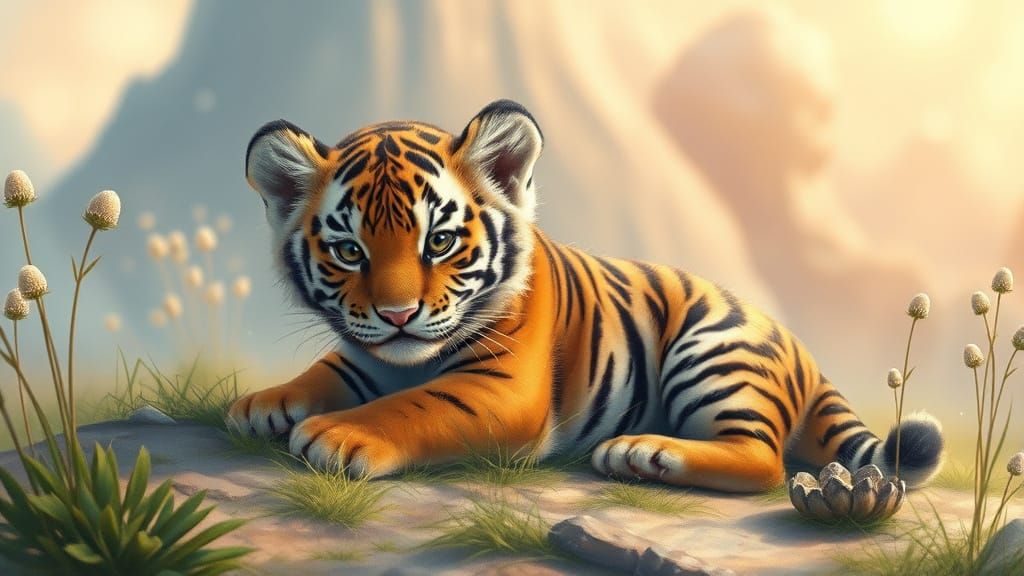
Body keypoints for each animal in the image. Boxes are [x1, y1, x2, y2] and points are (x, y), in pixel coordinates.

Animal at [227, 99, 944, 493]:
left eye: (440, 242)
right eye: (350, 251)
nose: (398, 315)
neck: (406, 360)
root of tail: (800, 347)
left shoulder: (502, 390)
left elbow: (413, 406)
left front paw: (337, 434)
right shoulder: (360, 355)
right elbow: (322, 374)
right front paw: (261, 405)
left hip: (712, 352)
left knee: (765, 460)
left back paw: (645, 453)